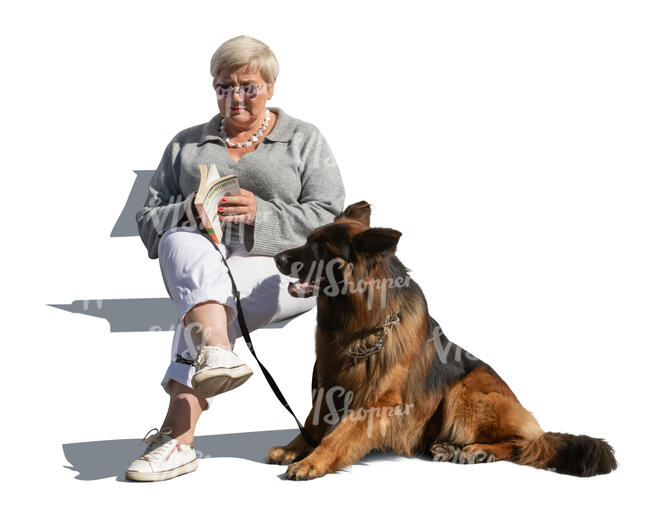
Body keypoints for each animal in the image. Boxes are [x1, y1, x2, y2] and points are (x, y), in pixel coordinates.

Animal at [266, 201, 616, 480]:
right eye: (308, 241)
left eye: (321, 248)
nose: (277, 258)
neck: (361, 325)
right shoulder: (329, 382)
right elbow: (311, 423)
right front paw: (293, 449)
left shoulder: (378, 401)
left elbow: (337, 436)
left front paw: (313, 461)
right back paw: (447, 447)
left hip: (464, 390)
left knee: (522, 443)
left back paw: (477, 449)